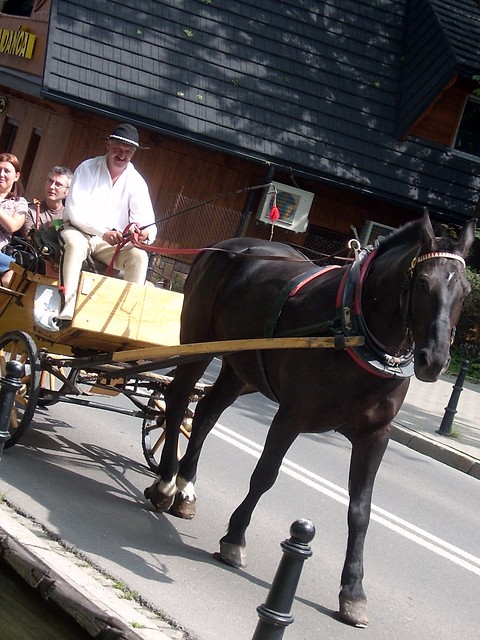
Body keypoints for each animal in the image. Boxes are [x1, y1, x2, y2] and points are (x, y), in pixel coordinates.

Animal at [144, 214, 474, 624]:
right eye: (424, 282)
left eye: (465, 290)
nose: (435, 361)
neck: (353, 328)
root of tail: (224, 245)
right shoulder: (291, 416)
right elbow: (264, 476)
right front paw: (234, 539)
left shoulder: (375, 436)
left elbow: (361, 511)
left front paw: (353, 592)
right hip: (198, 346)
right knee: (177, 404)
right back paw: (166, 484)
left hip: (241, 368)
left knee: (205, 414)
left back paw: (186, 490)